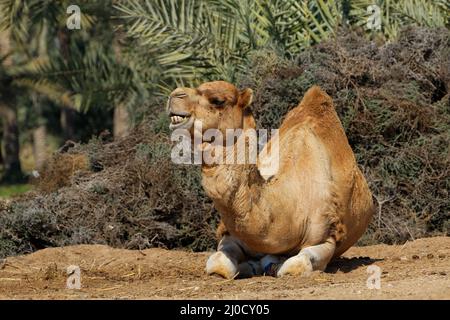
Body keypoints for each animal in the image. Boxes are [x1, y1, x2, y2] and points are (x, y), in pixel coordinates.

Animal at [167, 80, 374, 278]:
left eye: (218, 100)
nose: (175, 95)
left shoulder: (327, 235)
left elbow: (295, 265)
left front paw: (273, 264)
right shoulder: (231, 233)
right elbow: (218, 264)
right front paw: (250, 265)